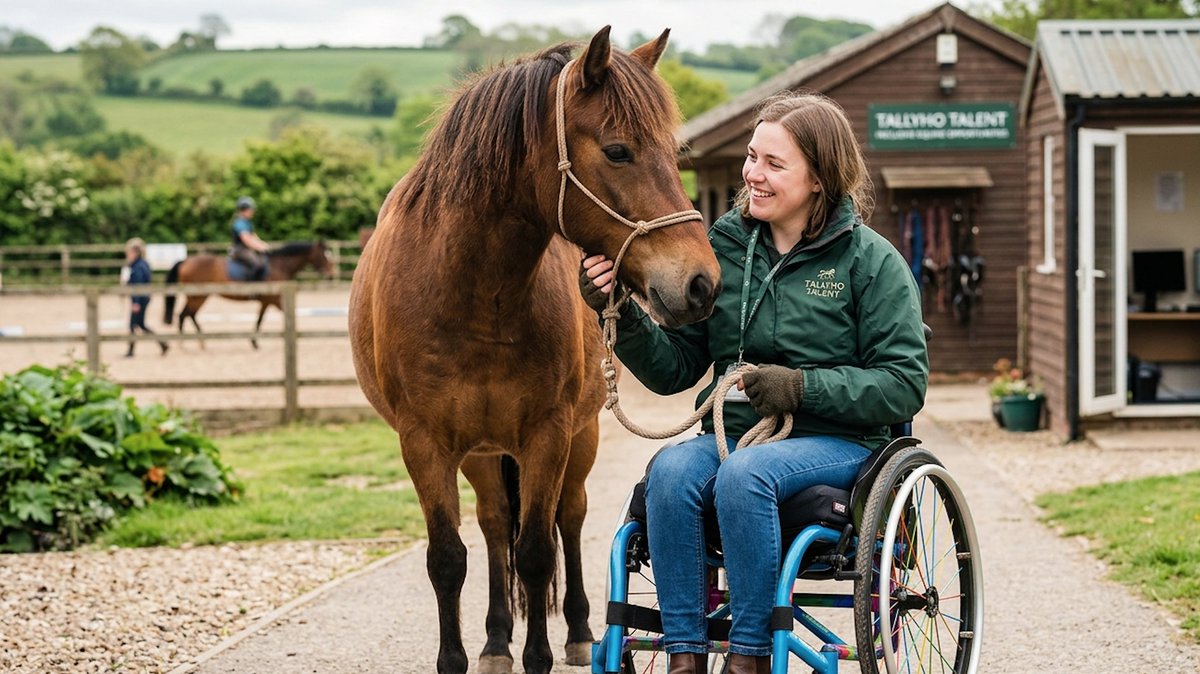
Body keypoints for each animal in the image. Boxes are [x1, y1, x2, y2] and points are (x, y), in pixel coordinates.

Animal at [163, 241, 334, 349]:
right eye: (324, 256)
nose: (331, 275)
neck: (279, 266)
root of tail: (185, 261)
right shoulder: (275, 300)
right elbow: (285, 315)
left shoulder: (266, 302)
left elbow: (259, 319)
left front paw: (254, 342)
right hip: (198, 297)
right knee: (185, 315)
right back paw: (186, 343)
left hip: (198, 297)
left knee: (189, 315)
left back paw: (199, 342)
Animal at [348, 27, 721, 674]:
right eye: (618, 151)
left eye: (675, 152)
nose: (701, 283)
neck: (475, 294)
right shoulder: (424, 442)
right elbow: (449, 558)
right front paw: (462, 655)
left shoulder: (548, 434)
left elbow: (538, 551)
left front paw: (543, 651)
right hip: (482, 451)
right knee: (495, 524)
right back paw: (497, 641)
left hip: (581, 436)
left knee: (567, 519)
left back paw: (577, 630)